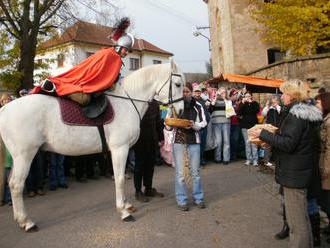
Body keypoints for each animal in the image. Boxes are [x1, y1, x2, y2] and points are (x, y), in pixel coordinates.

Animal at [0, 60, 183, 232]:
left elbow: (120, 176)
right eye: (178, 84)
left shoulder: (120, 150)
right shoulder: (120, 149)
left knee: (11, 183)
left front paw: (126, 205)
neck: (127, 103)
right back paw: (27, 222)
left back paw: (21, 220)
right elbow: (120, 178)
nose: (181, 112)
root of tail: (4, 110)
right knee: (16, 185)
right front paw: (123, 212)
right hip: (25, 155)